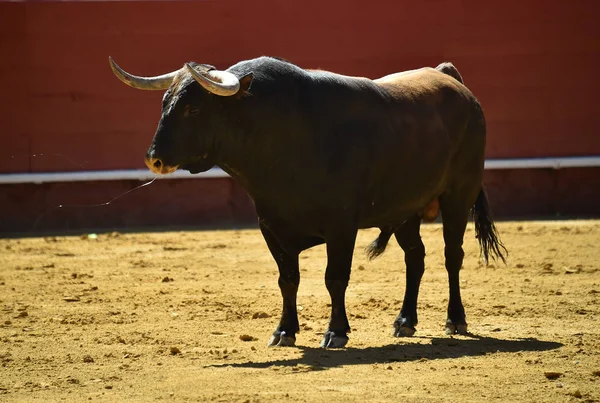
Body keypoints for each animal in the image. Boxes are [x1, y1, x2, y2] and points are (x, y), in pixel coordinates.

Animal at [109, 55, 506, 348]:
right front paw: (284, 332)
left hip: (459, 195)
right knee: (415, 257)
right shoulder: (271, 226)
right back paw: (405, 321)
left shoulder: (341, 226)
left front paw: (336, 332)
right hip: (406, 208)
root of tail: (451, 81)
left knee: (452, 256)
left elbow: (335, 278)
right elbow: (288, 279)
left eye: (194, 109)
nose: (153, 158)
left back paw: (455, 319)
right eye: (165, 103)